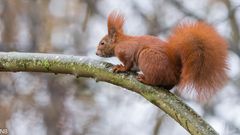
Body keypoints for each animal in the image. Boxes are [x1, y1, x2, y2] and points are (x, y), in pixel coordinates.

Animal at [96, 11, 228, 100]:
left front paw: (121, 67)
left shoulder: (125, 51)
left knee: (155, 80)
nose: (96, 53)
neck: (120, 42)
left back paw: (145, 79)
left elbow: (128, 63)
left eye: (102, 43)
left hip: (147, 58)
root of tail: (176, 72)